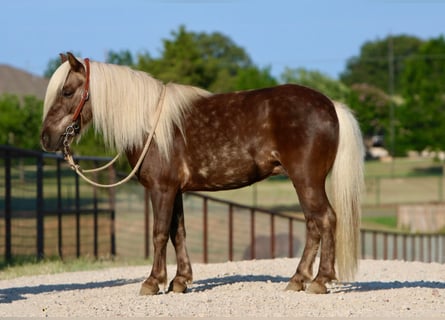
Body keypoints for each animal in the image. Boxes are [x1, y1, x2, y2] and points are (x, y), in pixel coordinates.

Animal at [40, 52, 364, 296]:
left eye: (67, 91)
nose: (46, 138)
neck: (150, 123)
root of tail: (330, 105)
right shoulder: (175, 191)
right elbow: (178, 233)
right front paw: (180, 281)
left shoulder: (161, 189)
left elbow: (159, 233)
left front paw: (152, 282)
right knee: (313, 224)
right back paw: (298, 279)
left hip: (306, 180)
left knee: (325, 219)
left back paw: (320, 281)